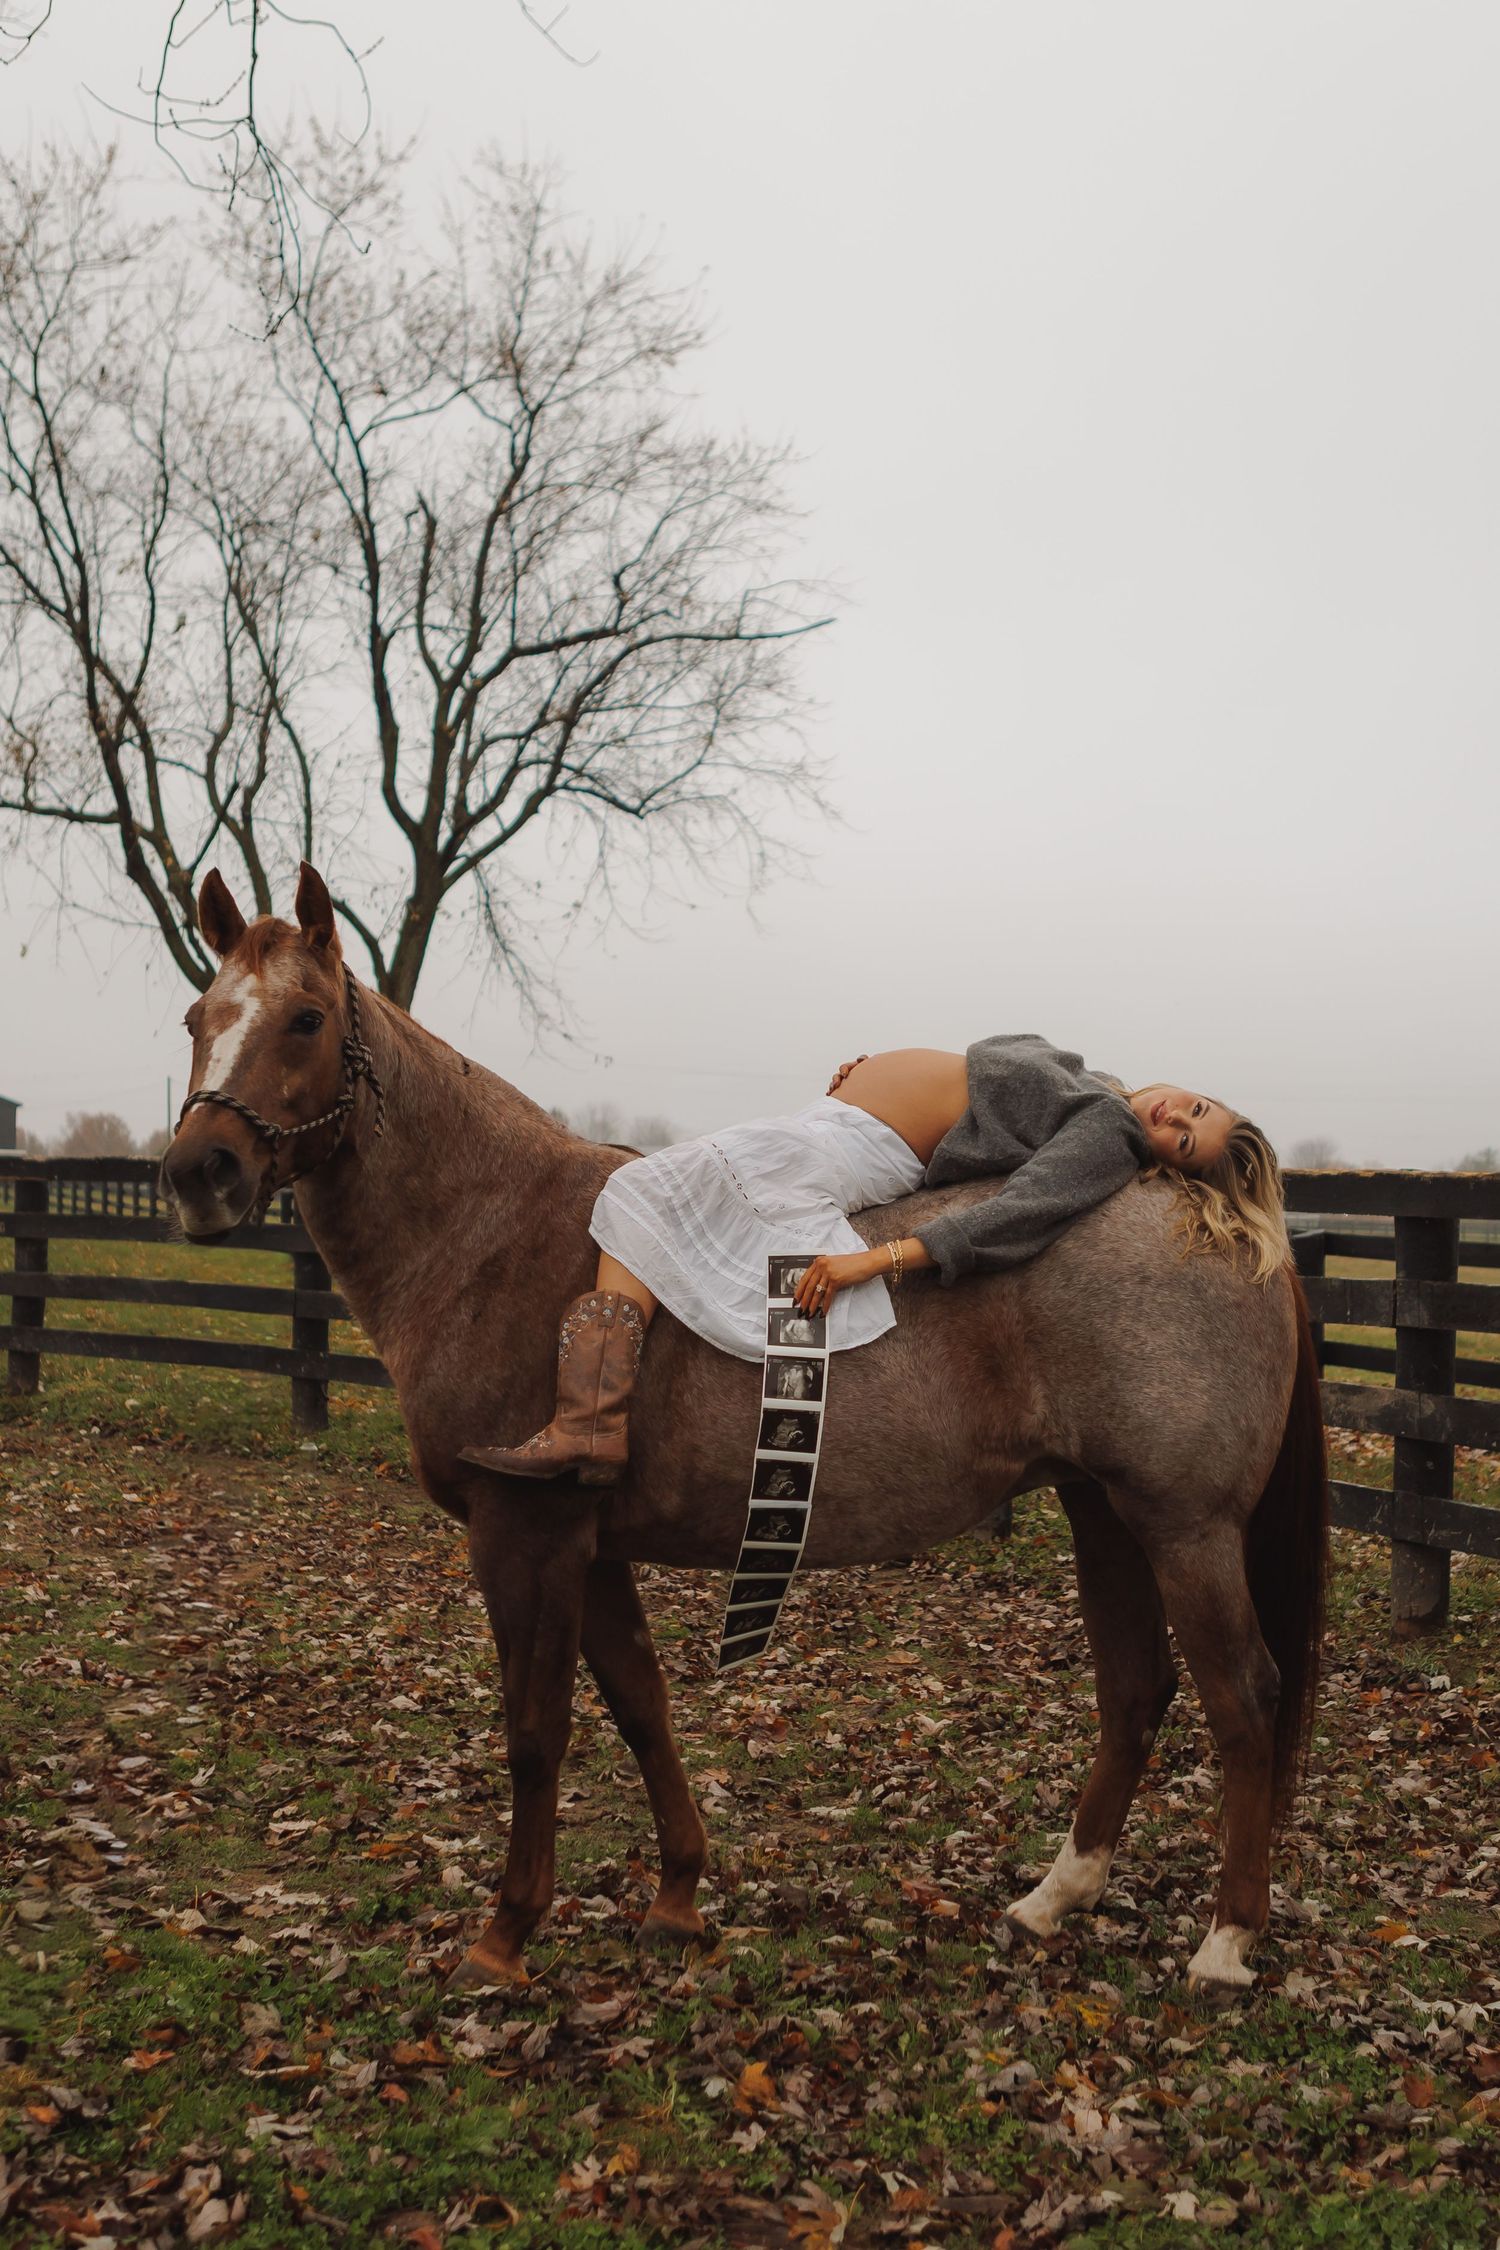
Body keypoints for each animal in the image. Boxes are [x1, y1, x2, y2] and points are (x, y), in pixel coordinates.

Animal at [161, 864, 1329, 1995]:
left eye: (305, 1018)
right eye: (195, 1016)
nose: (197, 1174)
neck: (494, 1234)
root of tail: (1228, 1221)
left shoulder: (523, 1534)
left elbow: (537, 1733)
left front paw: (504, 1938)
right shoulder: (591, 1546)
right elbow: (640, 1707)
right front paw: (678, 1897)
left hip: (1185, 1528)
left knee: (1245, 1700)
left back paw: (1225, 1942)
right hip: (1105, 1514)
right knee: (1137, 1690)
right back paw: (1055, 1898)